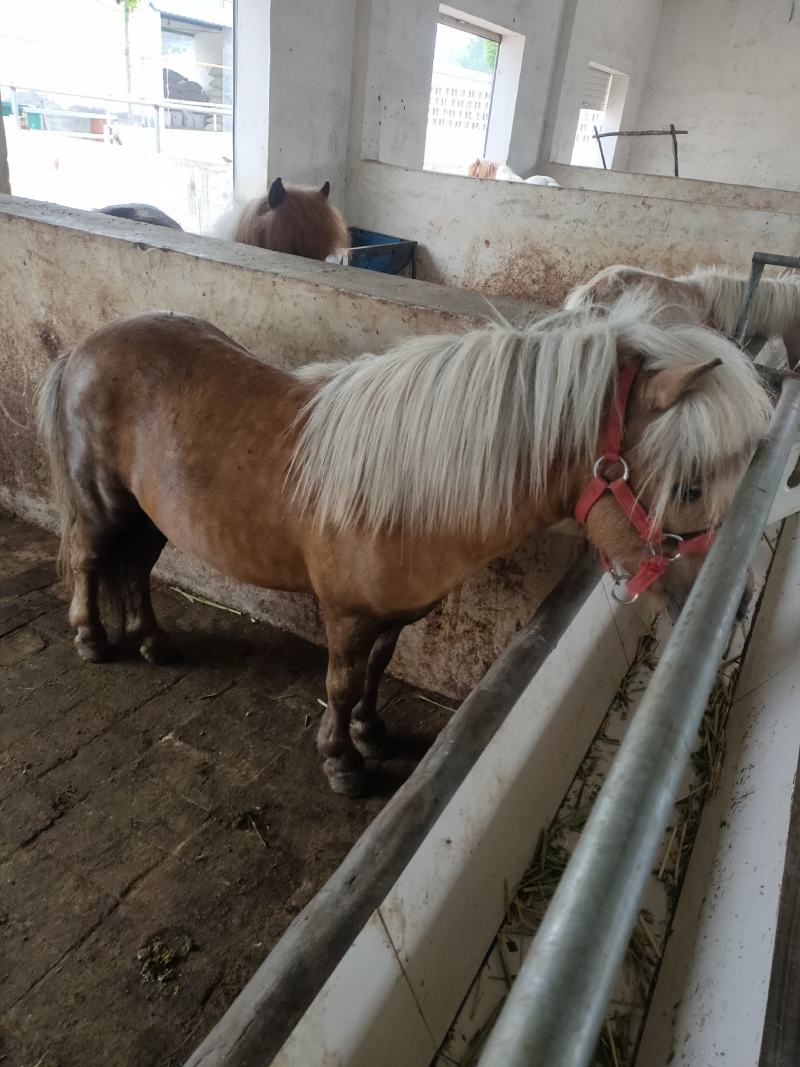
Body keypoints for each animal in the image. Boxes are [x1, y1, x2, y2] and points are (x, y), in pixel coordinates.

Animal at [36, 291, 771, 796]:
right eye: (690, 487)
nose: (732, 605)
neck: (402, 485)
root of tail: (86, 346)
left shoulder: (392, 613)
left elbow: (378, 669)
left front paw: (370, 731)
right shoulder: (345, 614)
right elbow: (339, 682)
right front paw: (342, 761)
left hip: (151, 517)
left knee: (134, 569)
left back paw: (153, 642)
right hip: (104, 506)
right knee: (91, 560)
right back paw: (92, 637)